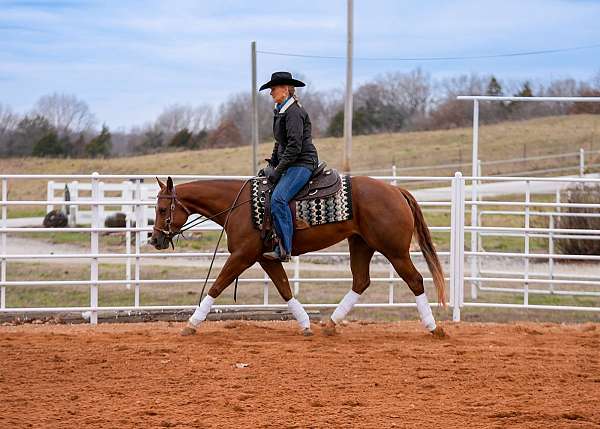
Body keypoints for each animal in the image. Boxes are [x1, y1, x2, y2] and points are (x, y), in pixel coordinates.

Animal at [151, 176, 446, 336]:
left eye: (163, 208)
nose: (155, 239)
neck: (239, 206)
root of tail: (396, 190)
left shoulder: (242, 256)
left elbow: (217, 285)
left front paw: (191, 324)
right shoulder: (266, 258)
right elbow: (284, 289)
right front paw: (305, 324)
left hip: (394, 251)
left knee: (415, 280)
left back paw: (434, 328)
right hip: (361, 244)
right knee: (361, 282)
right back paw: (330, 324)